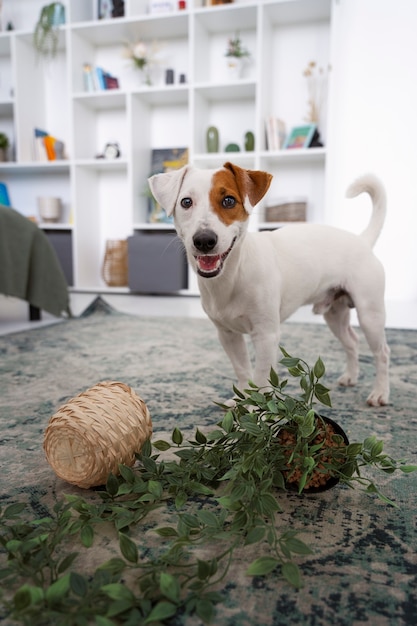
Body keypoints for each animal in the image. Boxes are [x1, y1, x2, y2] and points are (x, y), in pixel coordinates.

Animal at [148, 161, 388, 404]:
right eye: (186, 202)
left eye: (229, 201)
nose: (204, 240)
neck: (233, 276)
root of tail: (362, 240)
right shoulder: (228, 335)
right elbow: (243, 371)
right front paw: (241, 400)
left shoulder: (266, 335)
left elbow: (262, 377)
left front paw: (256, 408)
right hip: (335, 314)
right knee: (352, 342)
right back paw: (351, 376)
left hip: (370, 314)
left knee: (382, 353)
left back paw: (380, 393)